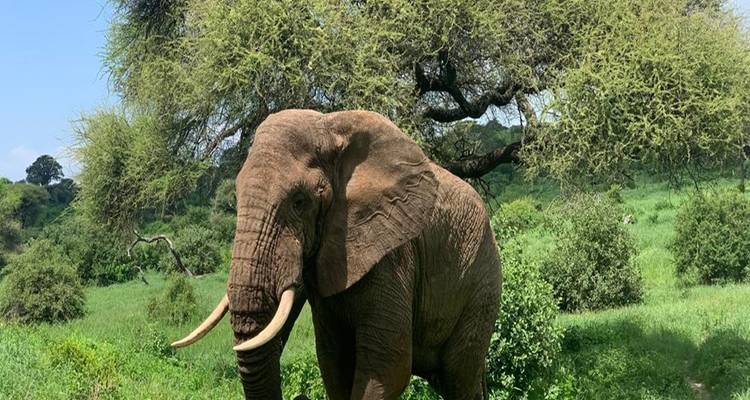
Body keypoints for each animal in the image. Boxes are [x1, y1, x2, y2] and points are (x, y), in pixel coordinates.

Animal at [172, 110, 502, 400]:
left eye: (299, 202)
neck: (331, 127)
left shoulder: (392, 254)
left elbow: (388, 367)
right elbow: (333, 362)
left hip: (482, 282)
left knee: (459, 376)